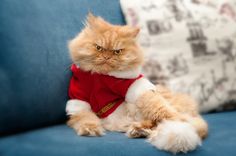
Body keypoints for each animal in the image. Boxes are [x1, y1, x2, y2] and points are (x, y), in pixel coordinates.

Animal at [65, 13, 207, 154]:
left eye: (117, 51)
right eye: (98, 48)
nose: (107, 57)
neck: (100, 77)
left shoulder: (133, 87)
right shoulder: (79, 100)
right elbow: (86, 118)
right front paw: (90, 130)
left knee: (171, 119)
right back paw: (139, 131)